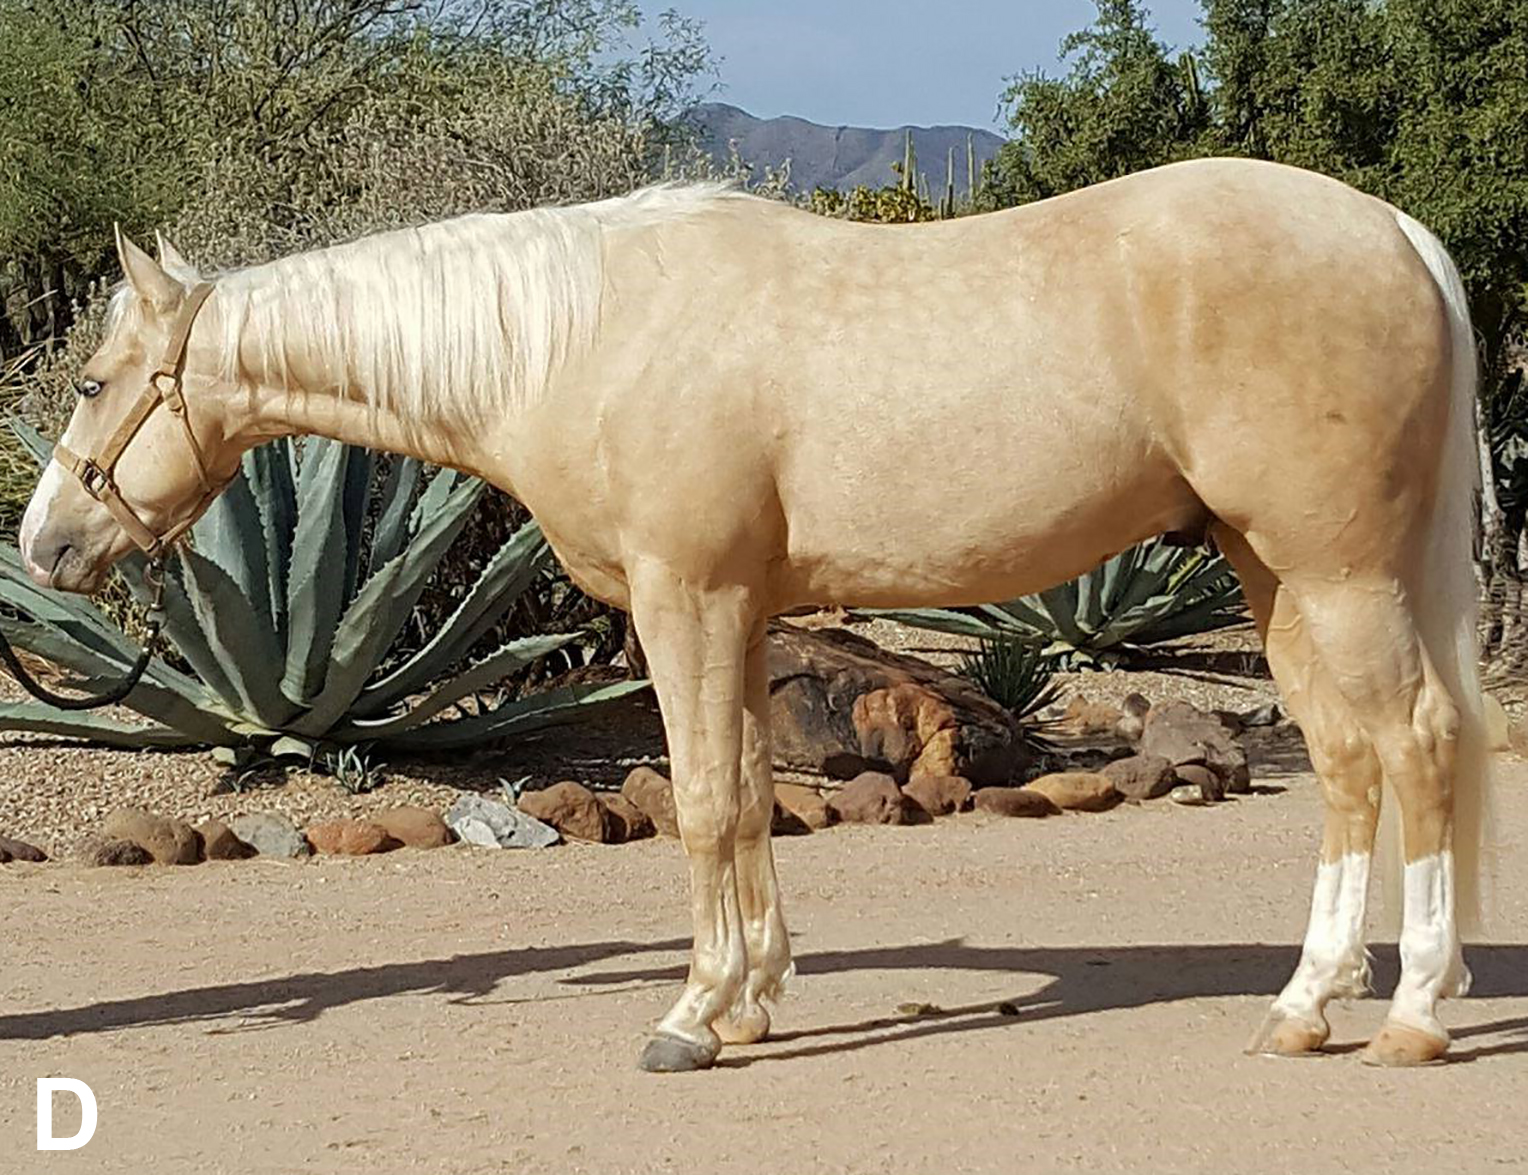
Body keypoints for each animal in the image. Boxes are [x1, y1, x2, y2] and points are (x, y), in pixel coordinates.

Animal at [17, 156, 1490, 1072]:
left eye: (92, 381)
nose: (45, 543)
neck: (576, 339)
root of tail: (1393, 230)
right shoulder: (736, 610)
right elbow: (747, 801)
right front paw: (751, 1004)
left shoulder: (690, 598)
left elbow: (707, 801)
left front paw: (689, 1016)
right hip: (1278, 571)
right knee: (1350, 762)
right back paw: (1305, 1005)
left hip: (1338, 571)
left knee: (1416, 744)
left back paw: (1413, 1013)